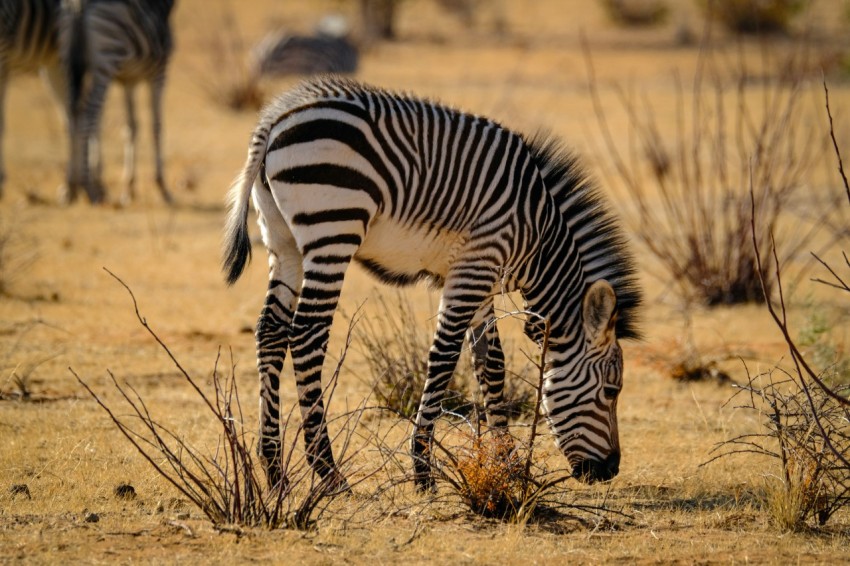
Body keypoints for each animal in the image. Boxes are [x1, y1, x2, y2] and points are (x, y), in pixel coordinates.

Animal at [65, 0, 176, 206]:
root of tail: (79, 6)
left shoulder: (128, 80)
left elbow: (131, 127)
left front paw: (129, 189)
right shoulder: (159, 71)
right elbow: (156, 126)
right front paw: (162, 187)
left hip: (69, 62)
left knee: (73, 115)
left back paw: (73, 188)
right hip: (105, 61)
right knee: (88, 116)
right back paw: (89, 188)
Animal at [222, 75, 640, 492]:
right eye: (611, 391)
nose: (610, 470)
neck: (540, 238)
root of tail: (276, 118)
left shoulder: (481, 276)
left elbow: (491, 364)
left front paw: (507, 464)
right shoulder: (476, 264)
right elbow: (444, 357)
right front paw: (422, 469)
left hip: (283, 240)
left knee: (271, 330)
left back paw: (274, 469)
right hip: (334, 228)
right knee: (307, 334)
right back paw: (328, 471)